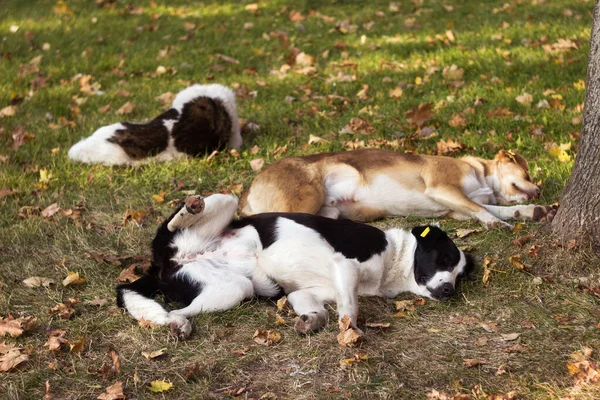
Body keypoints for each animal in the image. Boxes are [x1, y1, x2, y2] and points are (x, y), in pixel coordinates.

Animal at [117, 195, 474, 340]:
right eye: (443, 259)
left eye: (460, 276)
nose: (448, 290)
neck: (392, 261)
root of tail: (160, 264)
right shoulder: (346, 265)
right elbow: (350, 308)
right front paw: (351, 333)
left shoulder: (306, 293)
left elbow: (322, 311)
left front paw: (311, 322)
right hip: (220, 208)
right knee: (182, 218)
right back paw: (190, 208)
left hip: (233, 288)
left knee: (176, 312)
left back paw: (179, 325)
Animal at [237, 148, 556, 230]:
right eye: (527, 173)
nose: (540, 190)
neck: (481, 176)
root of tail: (248, 191)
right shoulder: (442, 188)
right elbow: (484, 209)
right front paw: (496, 223)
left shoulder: (457, 207)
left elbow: (502, 208)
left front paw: (533, 211)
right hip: (307, 198)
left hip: (328, 213)